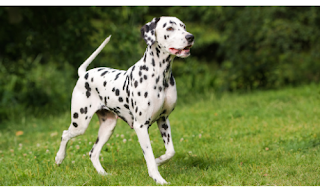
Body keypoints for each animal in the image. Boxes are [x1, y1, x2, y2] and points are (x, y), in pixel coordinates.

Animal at [54, 16, 194, 184]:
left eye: (183, 26)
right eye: (170, 28)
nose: (190, 37)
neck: (160, 75)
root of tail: (84, 74)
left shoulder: (163, 119)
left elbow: (170, 151)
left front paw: (159, 160)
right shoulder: (141, 126)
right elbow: (149, 156)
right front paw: (158, 179)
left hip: (108, 127)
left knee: (93, 152)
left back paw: (103, 174)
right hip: (80, 123)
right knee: (65, 134)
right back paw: (59, 158)